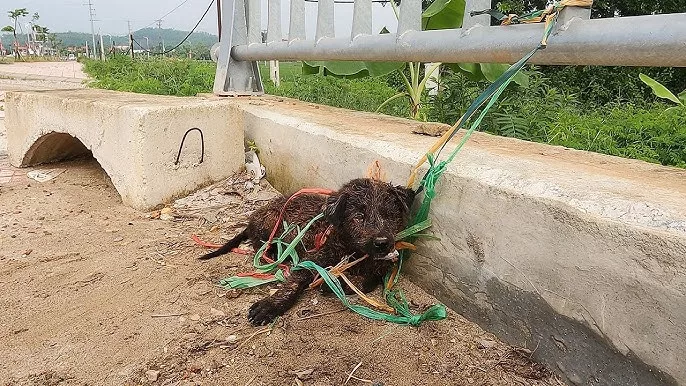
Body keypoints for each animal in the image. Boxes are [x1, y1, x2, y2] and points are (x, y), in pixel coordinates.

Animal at [198, 179, 414, 326]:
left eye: (390, 215)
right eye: (359, 217)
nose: (382, 243)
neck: (353, 250)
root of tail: (254, 216)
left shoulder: (381, 267)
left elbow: (368, 280)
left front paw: (339, 283)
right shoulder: (311, 260)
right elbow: (294, 283)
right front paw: (270, 305)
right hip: (272, 221)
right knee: (258, 242)